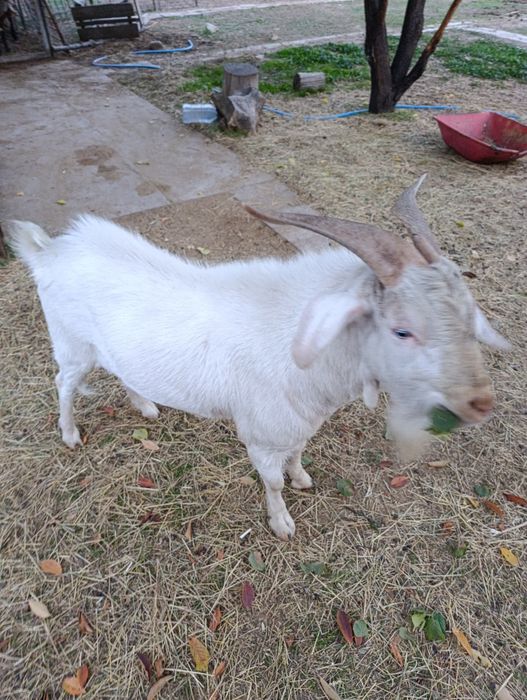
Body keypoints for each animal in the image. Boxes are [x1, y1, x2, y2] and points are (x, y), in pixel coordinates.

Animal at [6, 176, 509, 539]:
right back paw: (70, 434)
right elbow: (272, 481)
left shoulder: (299, 423)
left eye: (469, 316)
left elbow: (298, 455)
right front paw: (282, 523)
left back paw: (145, 404)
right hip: (72, 344)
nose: (480, 402)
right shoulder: (262, 435)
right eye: (402, 330)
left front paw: (303, 477)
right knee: (65, 383)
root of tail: (50, 251)